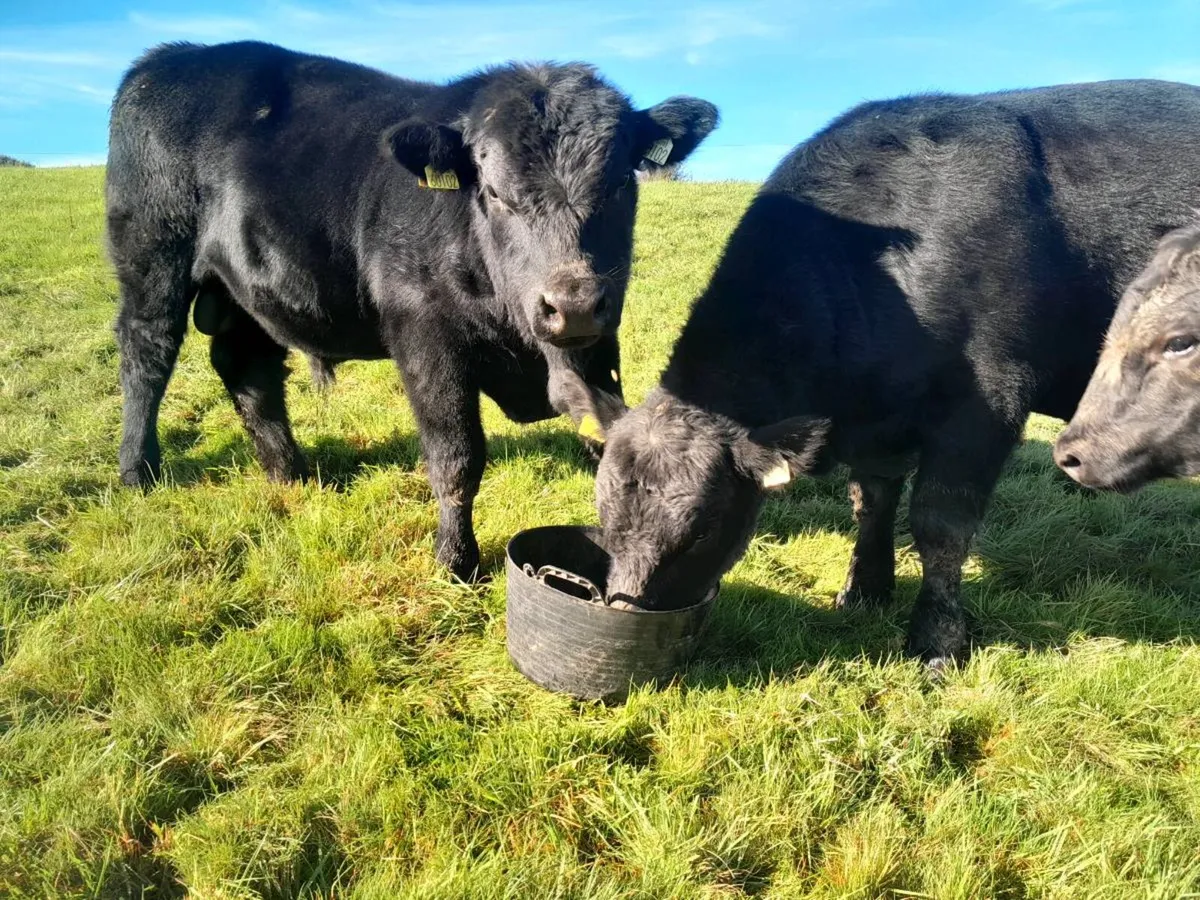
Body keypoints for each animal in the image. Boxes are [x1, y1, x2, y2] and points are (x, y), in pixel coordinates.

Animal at [105, 41, 717, 580]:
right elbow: (456, 457)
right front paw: (456, 562)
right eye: (495, 193)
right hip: (152, 257)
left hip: (247, 294)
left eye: (620, 184)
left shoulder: (596, 343)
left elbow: (605, 437)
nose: (571, 303)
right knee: (146, 353)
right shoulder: (425, 337)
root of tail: (165, 60)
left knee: (248, 368)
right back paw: (138, 470)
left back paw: (291, 474)